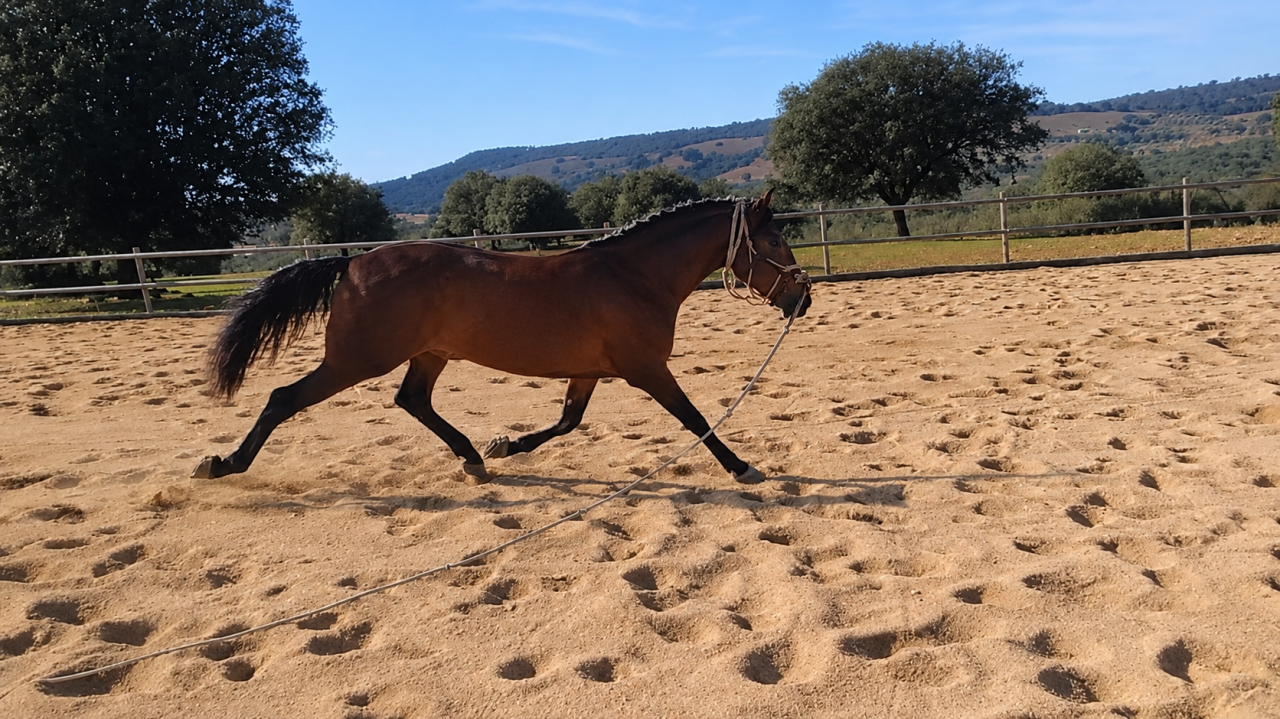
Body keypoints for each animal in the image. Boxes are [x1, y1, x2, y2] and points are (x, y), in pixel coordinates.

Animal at [192, 190, 812, 484]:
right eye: (774, 242)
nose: (802, 299)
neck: (634, 275)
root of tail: (351, 263)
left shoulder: (589, 371)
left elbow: (567, 422)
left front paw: (504, 445)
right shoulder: (647, 369)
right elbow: (696, 418)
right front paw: (743, 467)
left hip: (429, 354)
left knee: (412, 400)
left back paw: (472, 458)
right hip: (357, 359)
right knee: (283, 399)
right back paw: (223, 465)